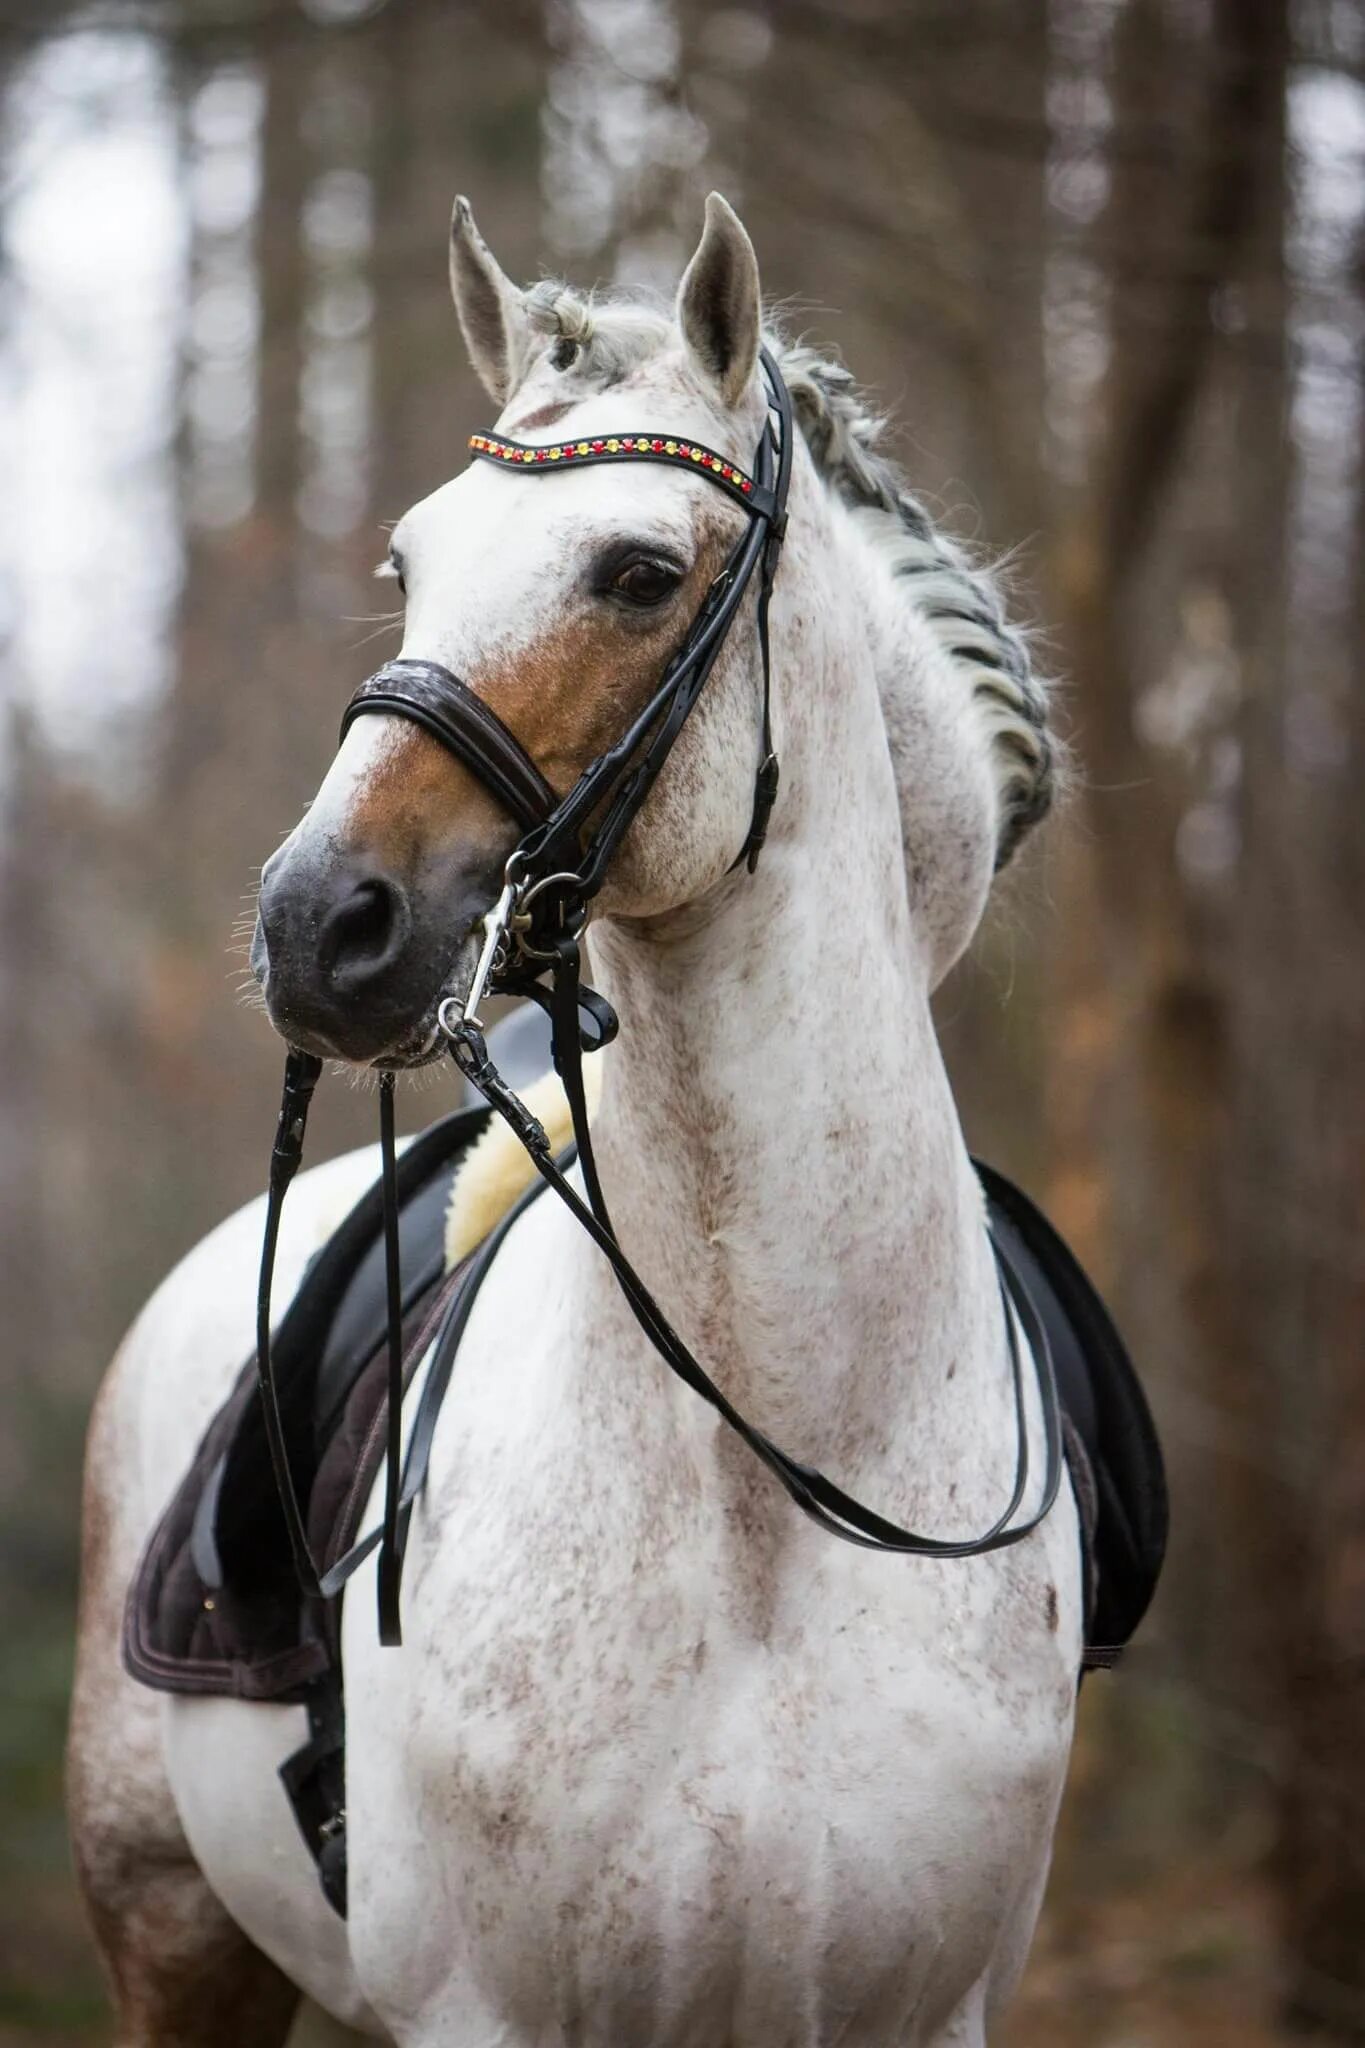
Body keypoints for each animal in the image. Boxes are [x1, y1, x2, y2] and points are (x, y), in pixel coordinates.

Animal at [72, 195, 1080, 2048]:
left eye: (638, 574)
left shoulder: (924, 2009)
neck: (775, 1481)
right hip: (175, 1941)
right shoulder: (485, 2010)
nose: (319, 925)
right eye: (407, 566)